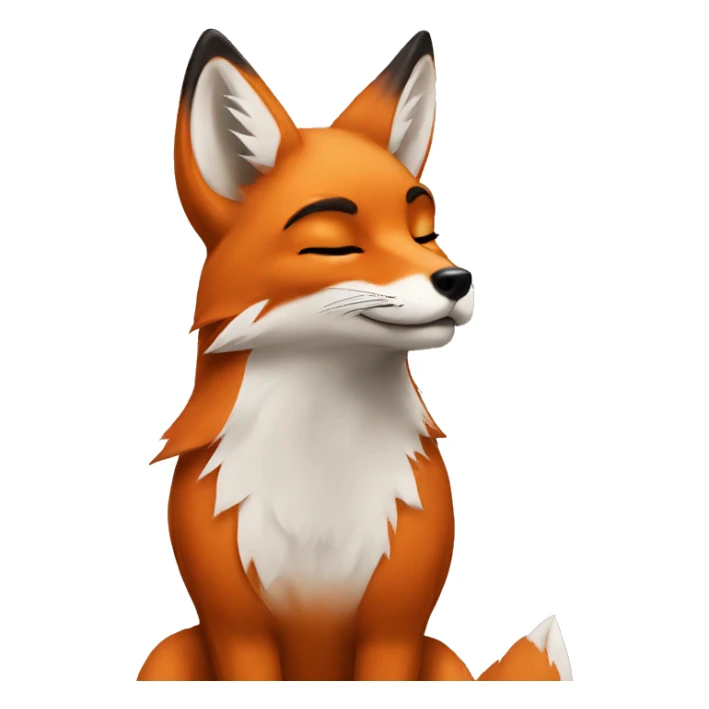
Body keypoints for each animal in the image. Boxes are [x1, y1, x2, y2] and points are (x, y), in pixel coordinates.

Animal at [138, 28, 573, 681]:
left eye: (425, 232)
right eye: (334, 246)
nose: (458, 279)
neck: (321, 464)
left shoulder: (395, 627)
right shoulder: (236, 629)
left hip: (443, 662)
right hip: (164, 658)